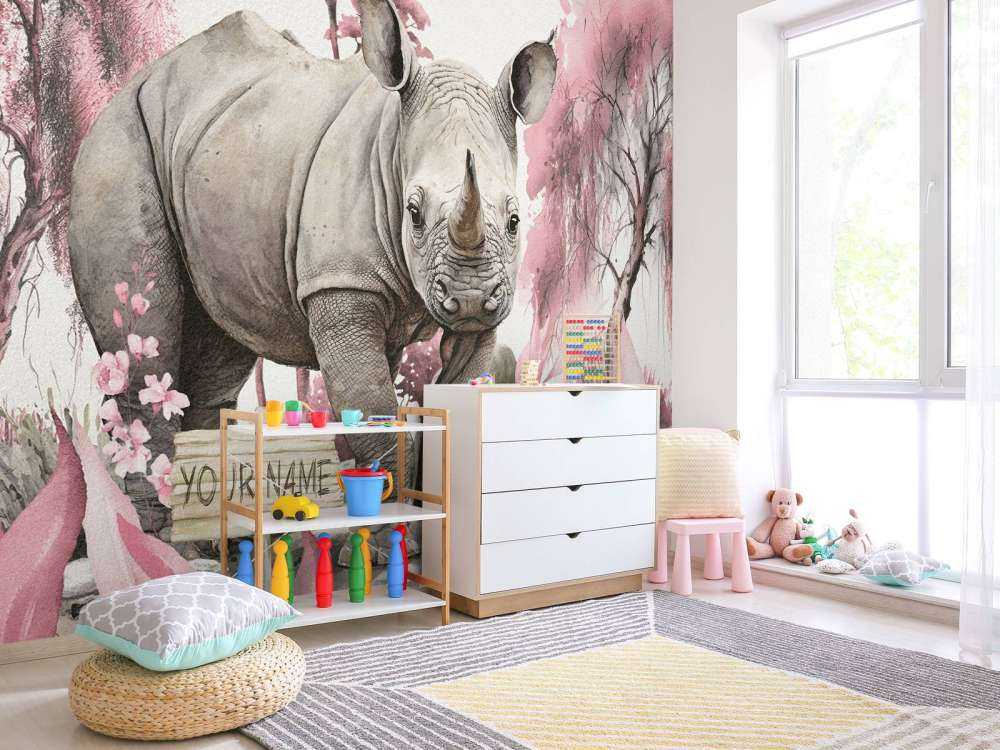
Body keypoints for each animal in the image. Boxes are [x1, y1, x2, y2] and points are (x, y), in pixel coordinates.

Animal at [69, 0, 556, 507]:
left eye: (515, 220)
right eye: (414, 213)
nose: (471, 298)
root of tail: (134, 82)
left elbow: (457, 383)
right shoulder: (341, 280)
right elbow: (377, 415)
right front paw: (392, 519)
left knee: (218, 351)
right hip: (117, 145)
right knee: (142, 345)